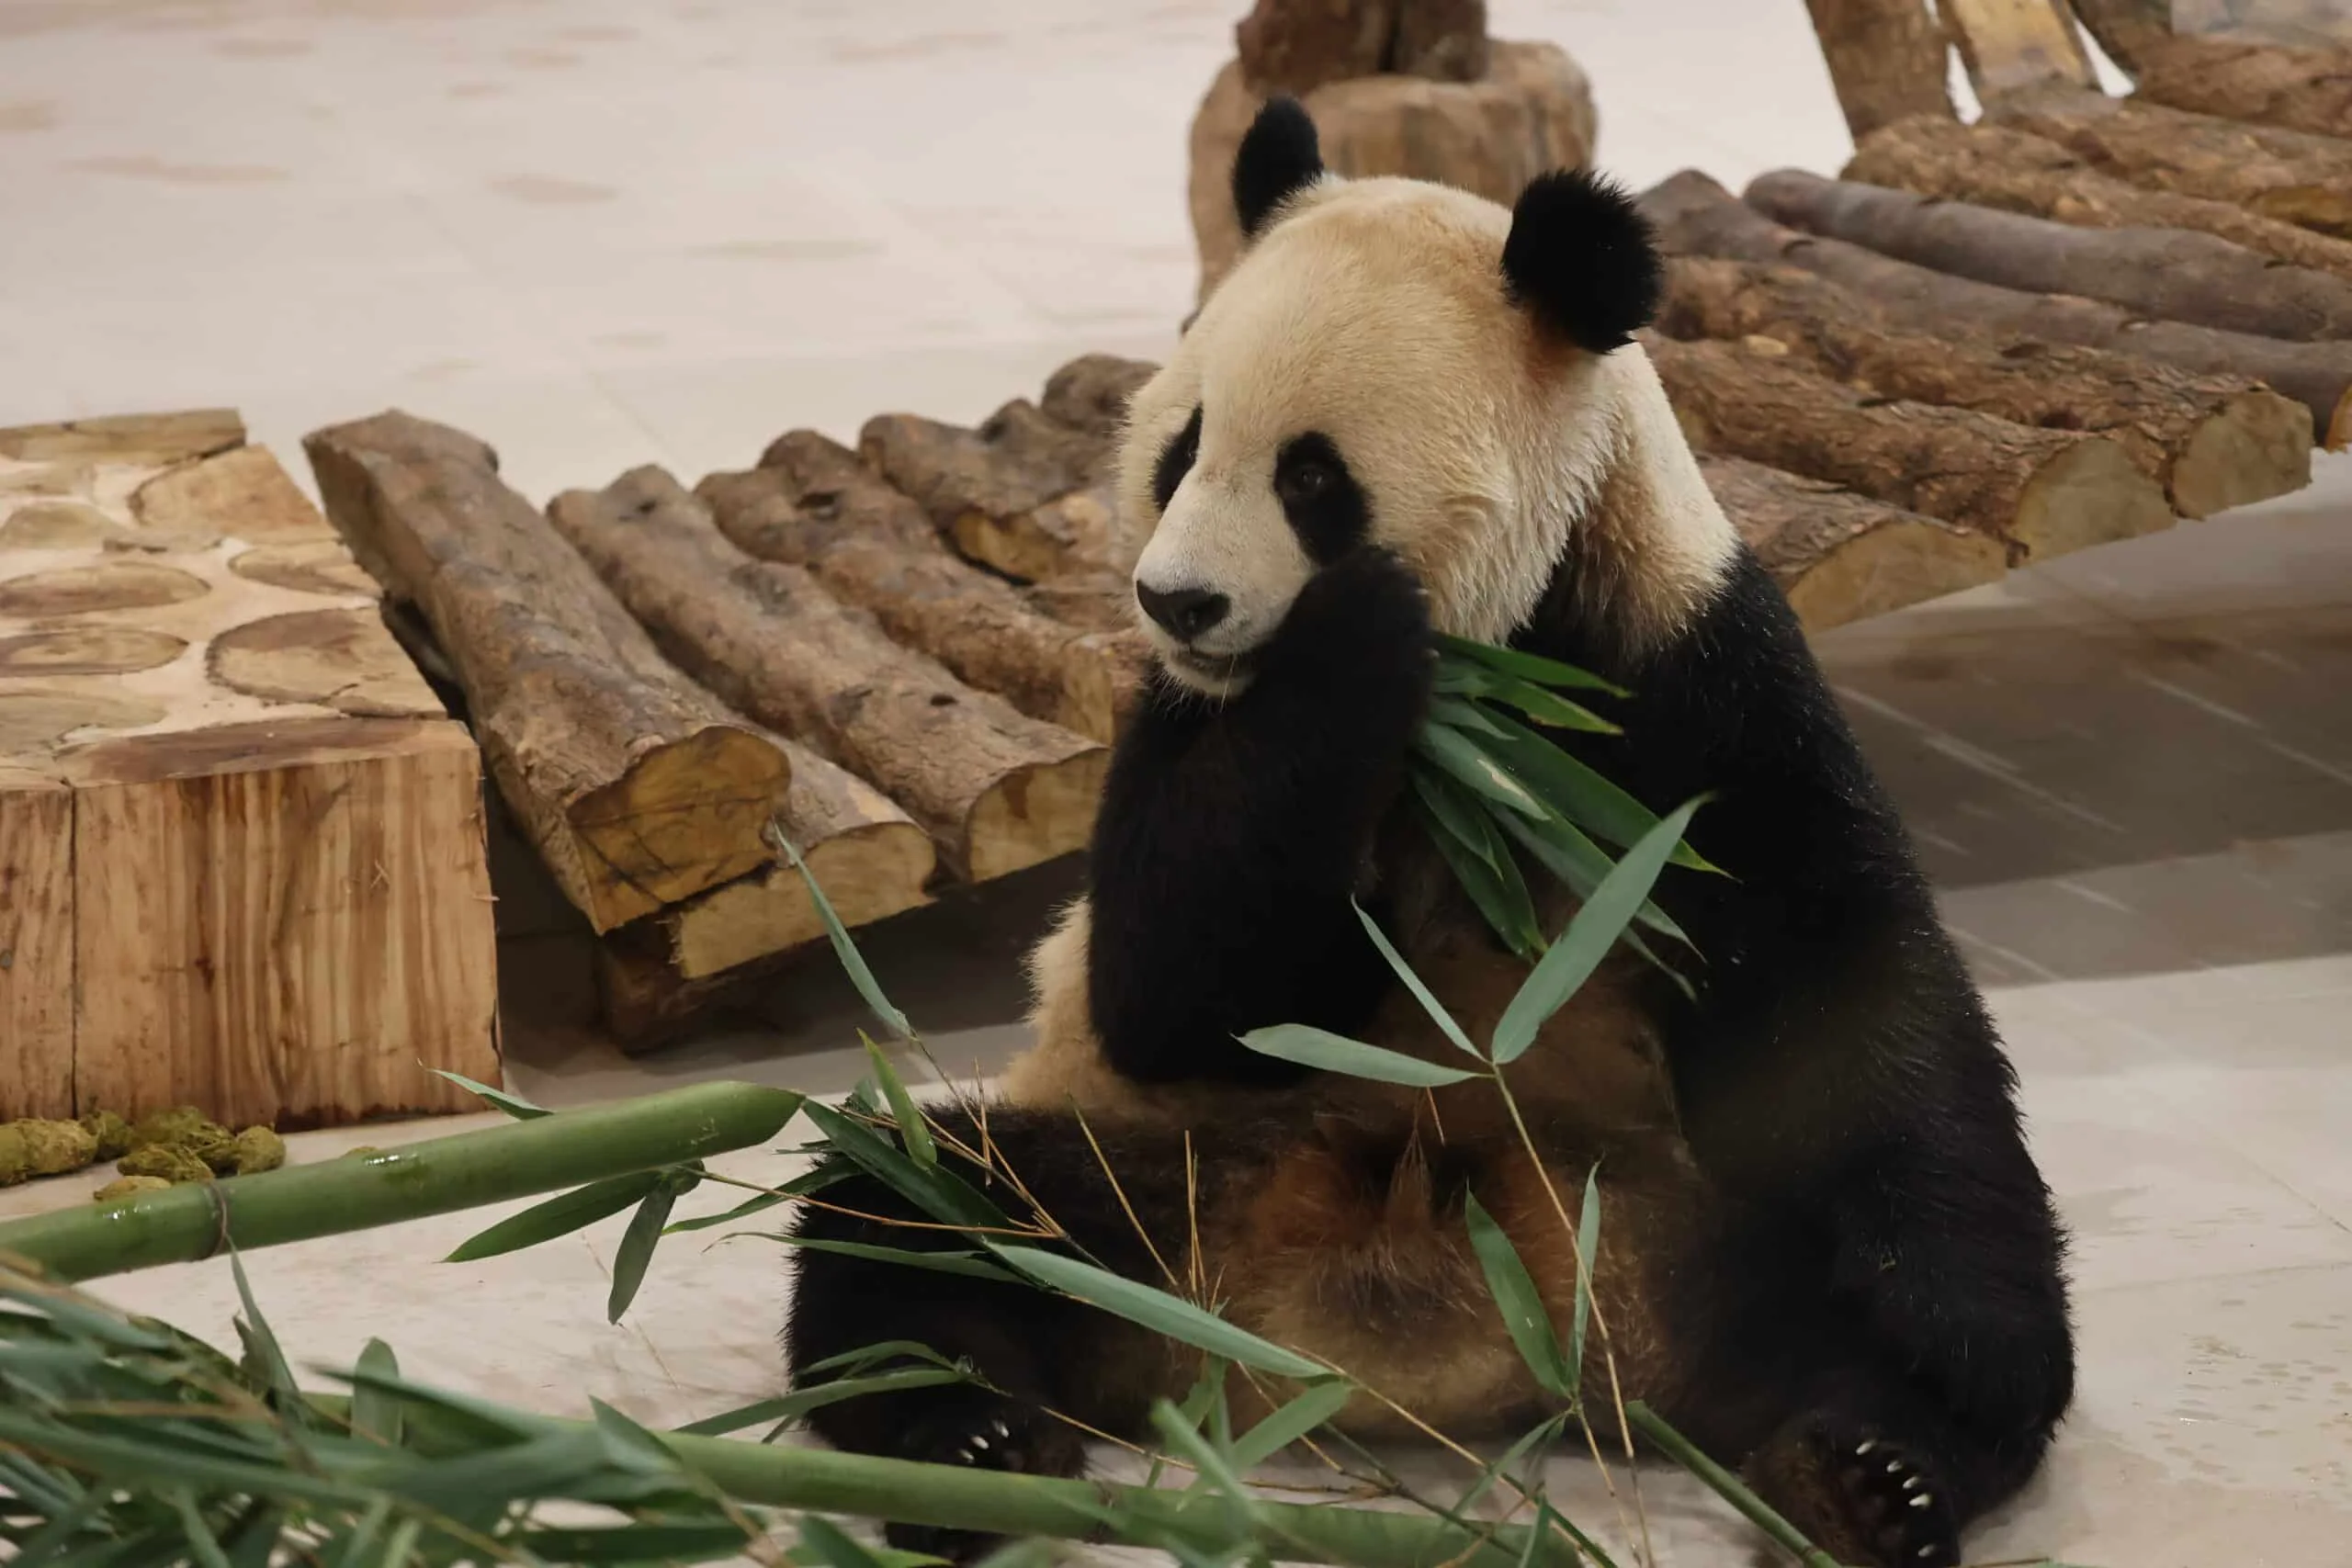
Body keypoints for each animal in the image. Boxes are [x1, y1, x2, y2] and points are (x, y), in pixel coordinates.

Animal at [784, 98, 2074, 1568]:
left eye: (1311, 477)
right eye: (1180, 447)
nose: (1178, 601)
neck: (1487, 683)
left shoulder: (1684, 665)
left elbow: (1838, 976)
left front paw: (1949, 1338)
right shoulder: (1182, 723)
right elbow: (1176, 985)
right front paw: (1345, 652)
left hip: (1662, 1209)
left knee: (1848, 1312)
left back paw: (1867, 1472)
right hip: (1144, 1177)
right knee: (916, 1206)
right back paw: (970, 1441)